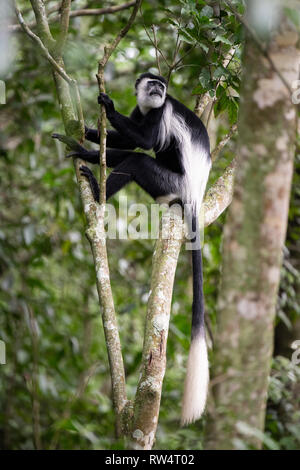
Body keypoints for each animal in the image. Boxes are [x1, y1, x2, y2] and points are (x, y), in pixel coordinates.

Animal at [52, 71, 211, 424]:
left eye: (162, 87)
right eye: (152, 83)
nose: (157, 89)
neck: (151, 105)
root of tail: (193, 195)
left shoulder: (160, 112)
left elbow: (146, 142)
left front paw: (108, 106)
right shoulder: (142, 110)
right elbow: (129, 140)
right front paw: (85, 132)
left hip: (170, 181)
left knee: (139, 160)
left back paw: (95, 185)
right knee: (129, 155)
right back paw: (85, 154)